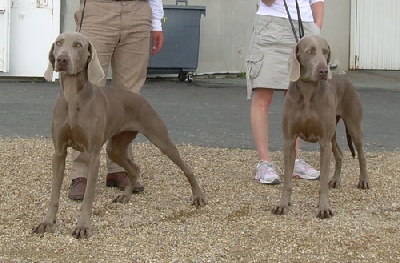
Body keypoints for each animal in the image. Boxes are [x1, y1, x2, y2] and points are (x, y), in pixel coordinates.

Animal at [32, 31, 206, 239]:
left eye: (78, 45)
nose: (61, 59)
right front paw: (47, 222)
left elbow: (88, 197)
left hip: (160, 138)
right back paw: (126, 195)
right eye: (58, 43)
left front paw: (82, 226)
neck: (74, 97)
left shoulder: (93, 155)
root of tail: (140, 97)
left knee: (186, 168)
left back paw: (198, 196)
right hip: (115, 148)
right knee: (135, 168)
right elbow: (54, 194)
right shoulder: (59, 153)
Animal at [272, 35, 368, 221]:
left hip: (353, 126)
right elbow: (287, 180)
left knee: (361, 154)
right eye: (309, 51)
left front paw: (324, 208)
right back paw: (336, 180)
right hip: (333, 135)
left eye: (325, 52)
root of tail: (347, 81)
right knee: (339, 154)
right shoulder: (289, 140)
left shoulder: (324, 142)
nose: (324, 70)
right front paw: (282, 204)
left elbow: (322, 181)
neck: (308, 91)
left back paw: (364, 181)